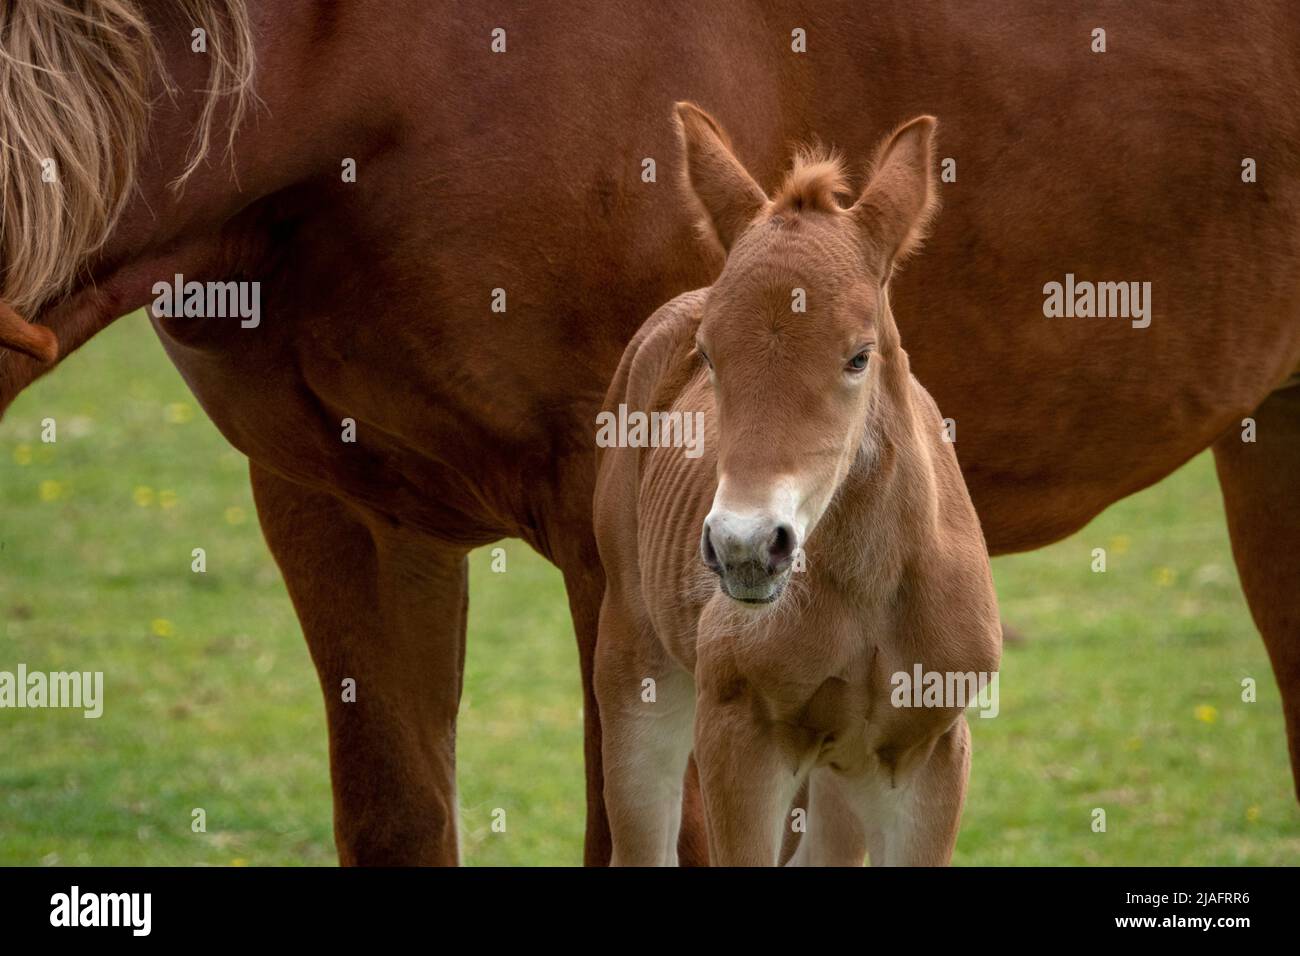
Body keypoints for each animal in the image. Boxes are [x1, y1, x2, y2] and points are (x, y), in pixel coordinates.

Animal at [595, 102, 998, 868]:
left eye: (859, 356)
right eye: (708, 355)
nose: (746, 547)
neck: (870, 590)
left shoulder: (932, 751)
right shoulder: (739, 734)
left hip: (846, 770)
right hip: (635, 665)